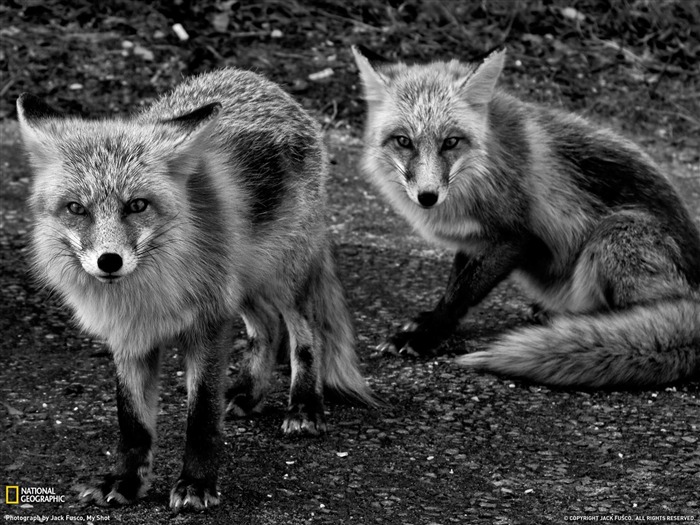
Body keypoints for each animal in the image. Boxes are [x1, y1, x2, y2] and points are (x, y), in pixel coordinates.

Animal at [16, 67, 374, 510]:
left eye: (137, 205)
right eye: (76, 209)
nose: (109, 261)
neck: (146, 295)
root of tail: (260, 81)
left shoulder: (210, 321)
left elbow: (201, 416)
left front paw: (197, 484)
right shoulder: (129, 336)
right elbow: (132, 422)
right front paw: (125, 481)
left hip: (281, 277)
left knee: (305, 334)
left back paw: (306, 406)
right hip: (243, 282)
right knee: (267, 328)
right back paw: (247, 394)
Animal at [356, 45, 700, 386]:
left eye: (451, 142)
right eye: (403, 141)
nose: (427, 197)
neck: (482, 171)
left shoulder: (518, 237)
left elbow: (463, 294)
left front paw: (427, 334)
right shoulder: (473, 240)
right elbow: (454, 286)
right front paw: (427, 322)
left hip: (616, 232)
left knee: (639, 316)